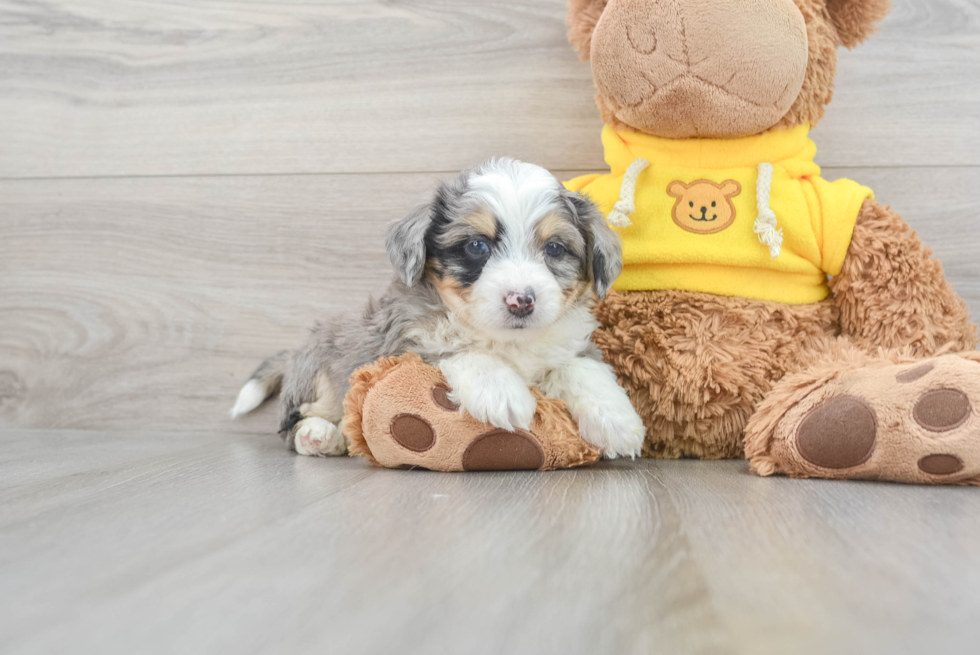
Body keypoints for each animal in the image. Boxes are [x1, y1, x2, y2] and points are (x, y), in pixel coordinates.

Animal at [230, 158, 644, 462]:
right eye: (477, 246)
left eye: (555, 248)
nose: (521, 300)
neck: (506, 341)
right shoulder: (406, 344)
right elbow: (456, 350)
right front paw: (501, 392)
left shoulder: (570, 343)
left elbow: (581, 367)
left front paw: (617, 420)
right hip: (320, 370)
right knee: (294, 423)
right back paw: (321, 436)